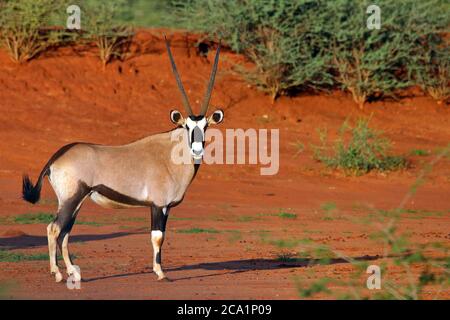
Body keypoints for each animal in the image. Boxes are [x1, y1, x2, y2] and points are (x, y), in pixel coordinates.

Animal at [22, 38, 224, 282]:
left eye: (205, 126)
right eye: (186, 126)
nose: (196, 149)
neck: (170, 156)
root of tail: (57, 156)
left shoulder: (166, 208)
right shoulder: (158, 205)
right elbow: (157, 237)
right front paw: (160, 273)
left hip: (75, 202)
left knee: (65, 232)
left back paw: (72, 272)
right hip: (71, 200)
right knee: (54, 229)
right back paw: (58, 274)